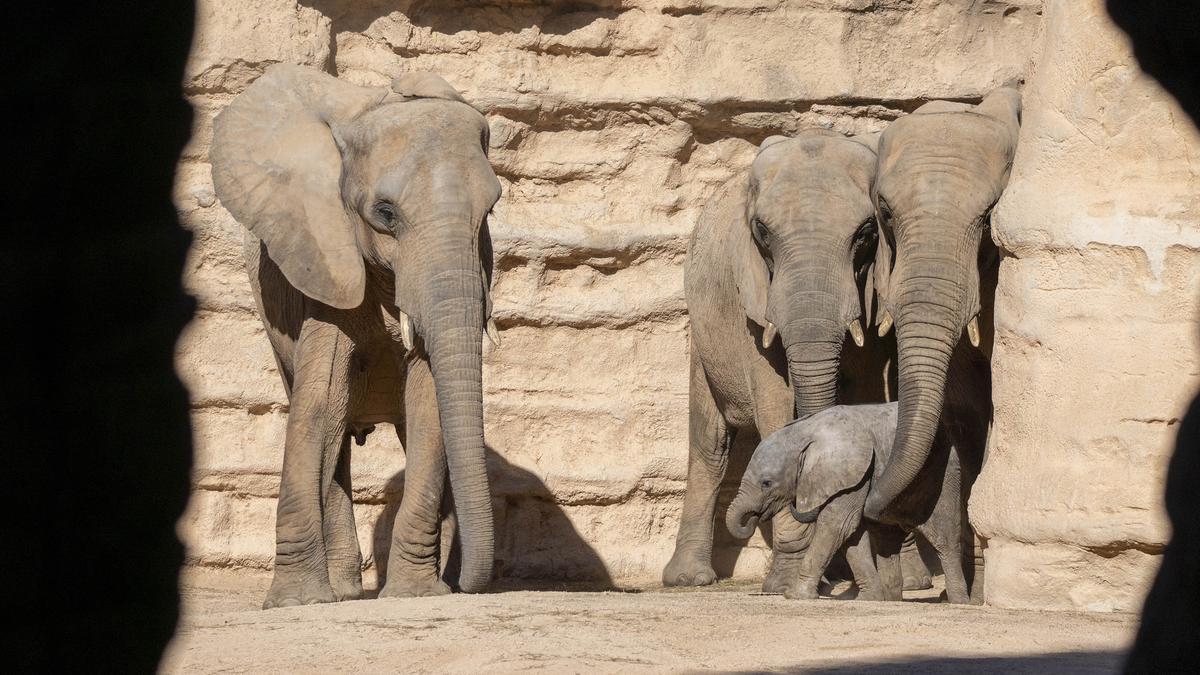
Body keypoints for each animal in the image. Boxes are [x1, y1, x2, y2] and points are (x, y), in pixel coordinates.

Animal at [211, 65, 501, 607]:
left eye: (491, 210)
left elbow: (429, 401)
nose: (470, 586)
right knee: (331, 426)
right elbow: (320, 403)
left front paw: (415, 595)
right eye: (385, 213)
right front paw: (297, 602)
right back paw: (343, 591)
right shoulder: (323, 259)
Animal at [662, 128, 897, 590]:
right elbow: (775, 405)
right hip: (704, 336)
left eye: (865, 233)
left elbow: (864, 394)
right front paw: (788, 584)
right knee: (710, 444)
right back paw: (689, 579)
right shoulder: (751, 310)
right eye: (762, 232)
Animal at [724, 401, 969, 600]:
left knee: (943, 538)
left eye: (766, 483)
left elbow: (837, 525)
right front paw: (868, 599)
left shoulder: (853, 474)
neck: (804, 432)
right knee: (887, 539)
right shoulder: (853, 477)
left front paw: (794, 595)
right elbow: (852, 532)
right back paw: (891, 599)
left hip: (942, 475)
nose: (752, 519)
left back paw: (957, 601)